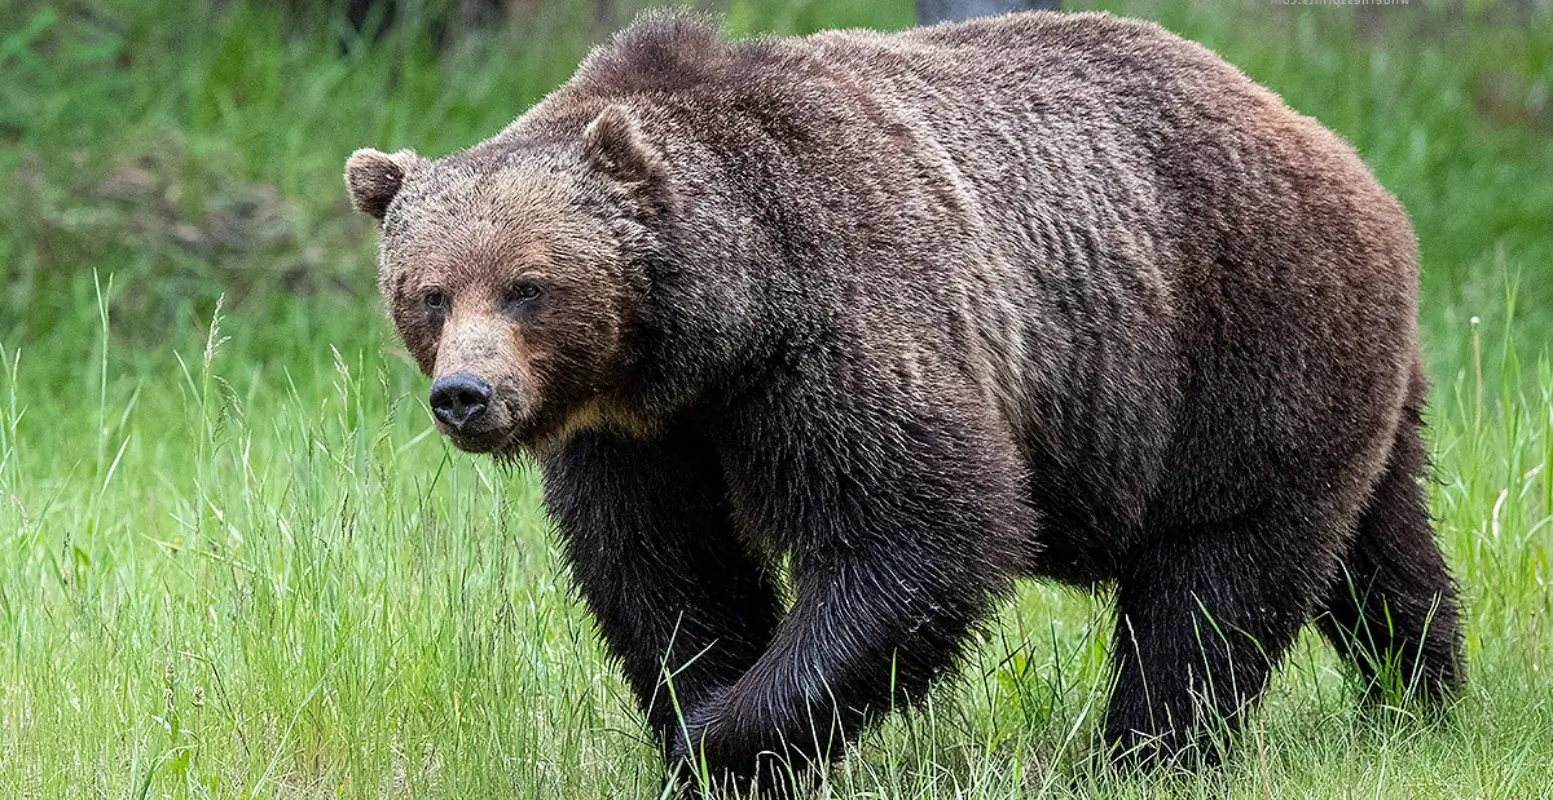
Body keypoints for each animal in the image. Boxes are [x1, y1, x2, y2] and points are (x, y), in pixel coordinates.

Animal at [344, 9, 1464, 794]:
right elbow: (662, 569)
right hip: (1346, 381)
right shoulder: (644, 434)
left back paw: (1145, 750)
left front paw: (725, 737)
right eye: (429, 292)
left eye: (528, 284)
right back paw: (1420, 698)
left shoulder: (837, 328)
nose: (465, 394)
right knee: (1380, 544)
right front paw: (696, 723)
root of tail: (1346, 158)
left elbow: (921, 527)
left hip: (1234, 341)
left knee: (1216, 572)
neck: (709, 332)